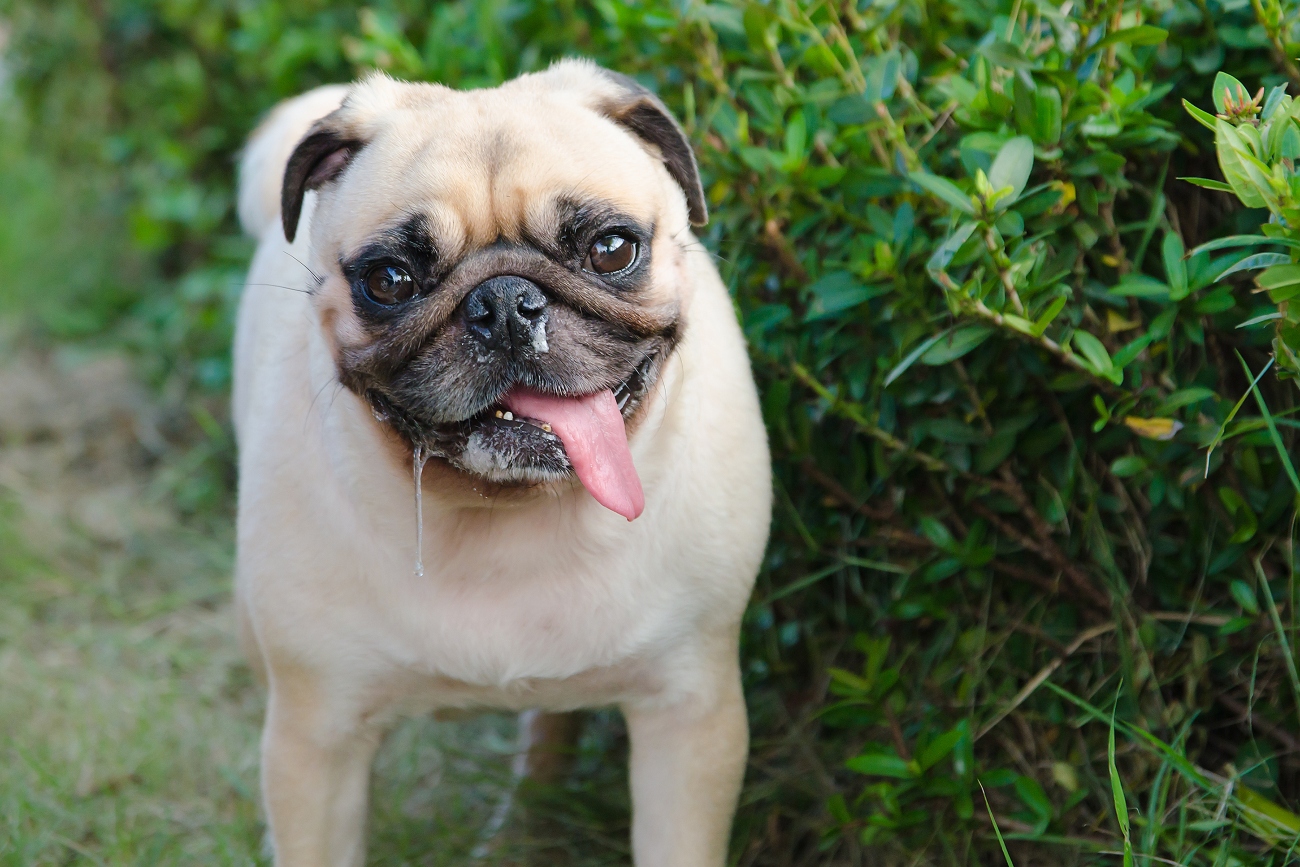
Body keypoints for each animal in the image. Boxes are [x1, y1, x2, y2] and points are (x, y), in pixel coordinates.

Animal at [231, 57, 769, 863]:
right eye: (389, 279)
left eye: (612, 249)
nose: (505, 302)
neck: (506, 514)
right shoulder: (315, 739)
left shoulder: (691, 714)